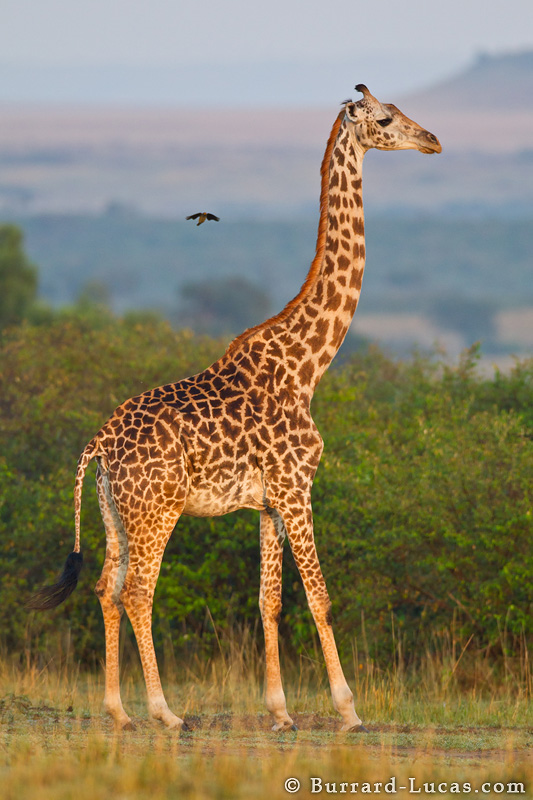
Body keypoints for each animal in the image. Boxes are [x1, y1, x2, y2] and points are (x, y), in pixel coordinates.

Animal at [28, 84, 441, 733]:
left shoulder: (269, 502)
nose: (433, 140)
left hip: (114, 511)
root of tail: (96, 446)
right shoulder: (298, 488)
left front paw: (280, 712)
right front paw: (348, 710)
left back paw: (119, 712)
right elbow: (320, 597)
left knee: (104, 588)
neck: (308, 367)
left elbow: (269, 601)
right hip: (158, 510)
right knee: (139, 591)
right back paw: (166, 713)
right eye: (384, 118)